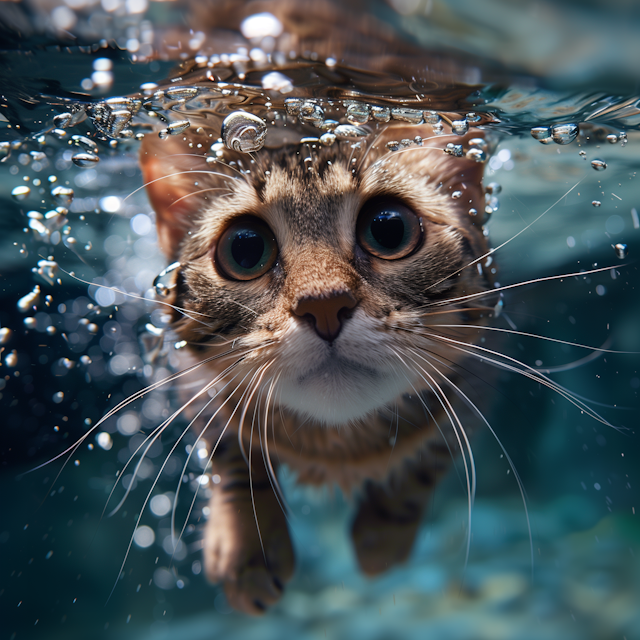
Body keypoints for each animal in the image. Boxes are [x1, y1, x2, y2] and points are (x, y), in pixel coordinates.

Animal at [141, 117, 500, 612]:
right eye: (244, 248)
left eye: (389, 229)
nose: (325, 304)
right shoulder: (192, 385)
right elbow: (231, 454)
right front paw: (248, 548)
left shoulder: (479, 378)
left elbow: (432, 456)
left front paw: (382, 535)